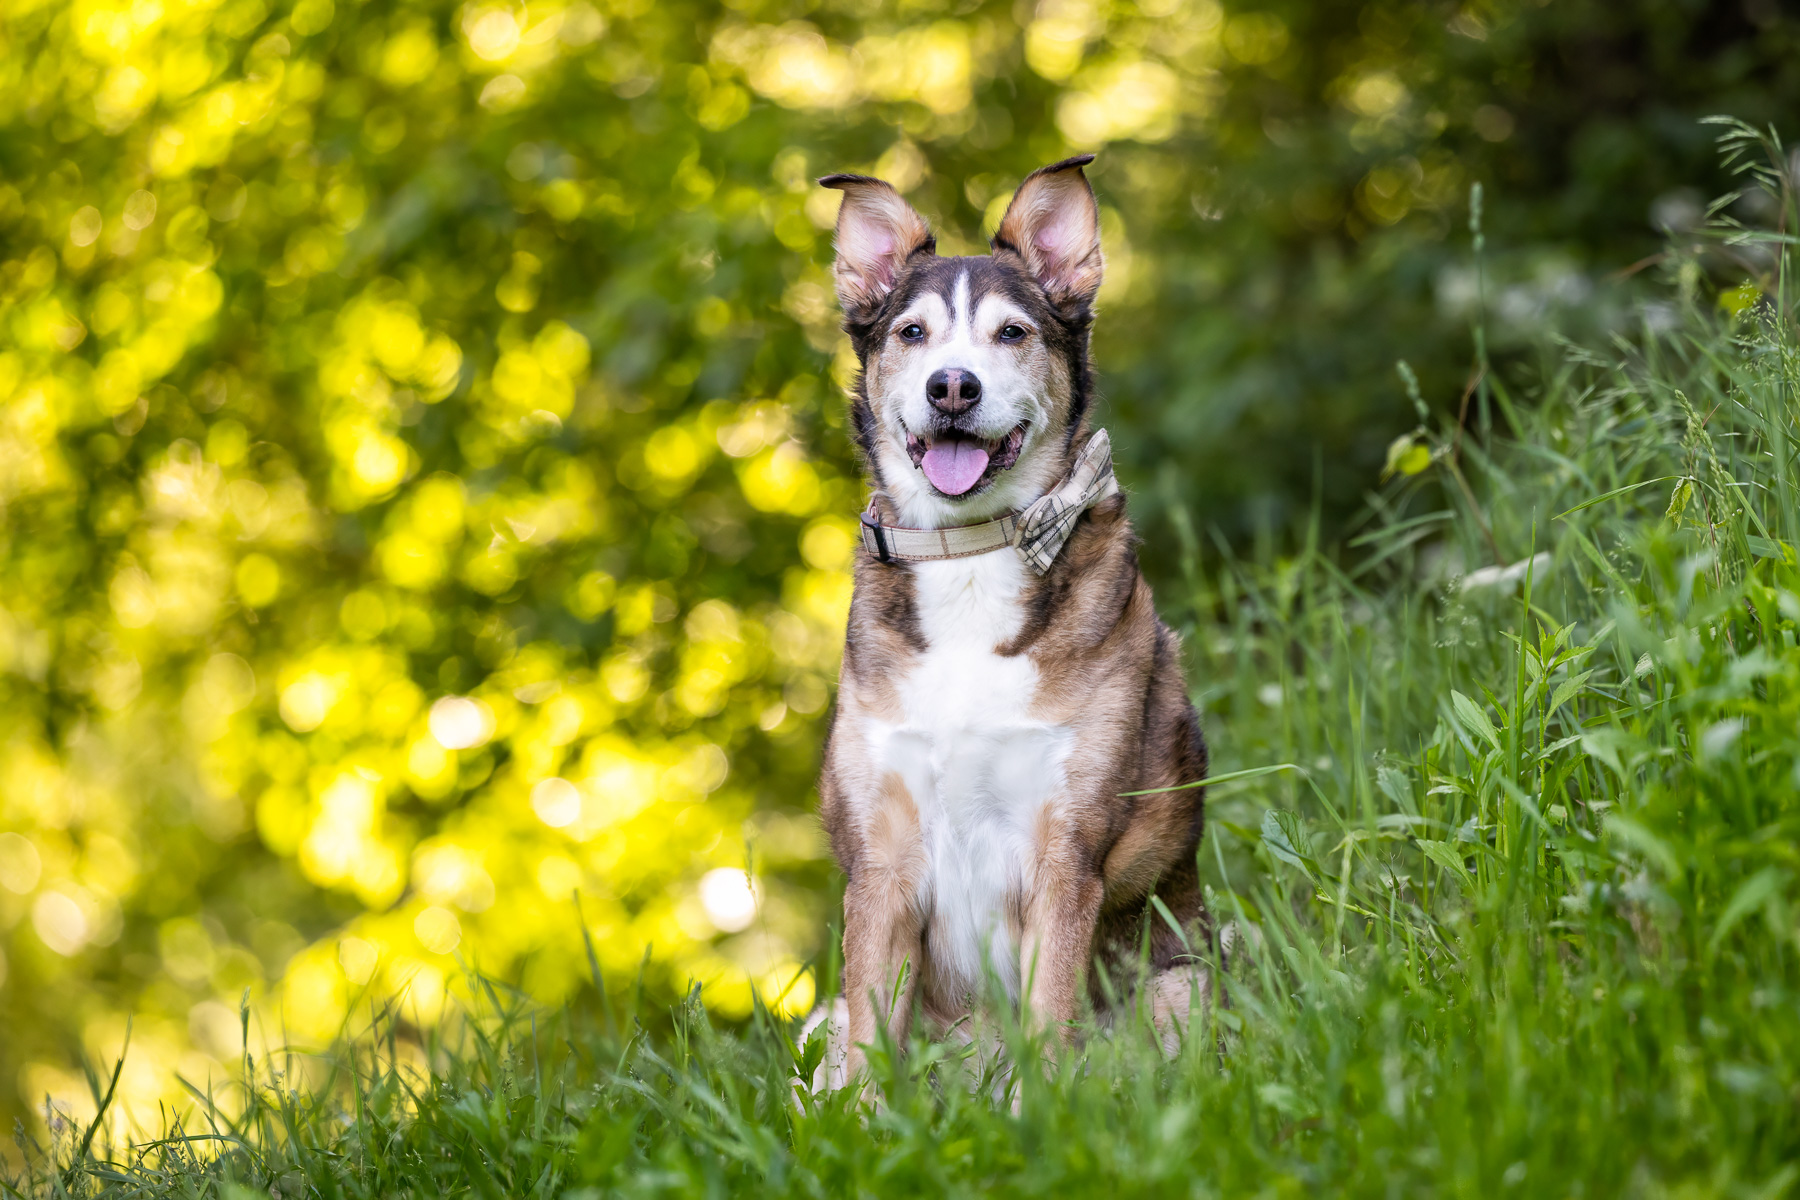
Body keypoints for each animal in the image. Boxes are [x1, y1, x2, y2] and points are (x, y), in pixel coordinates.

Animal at [813, 152, 1209, 1086]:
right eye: (911, 334)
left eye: (1012, 334)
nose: (952, 387)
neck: (968, 558)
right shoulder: (880, 861)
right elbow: (872, 1054)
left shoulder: (1065, 850)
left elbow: (1050, 1027)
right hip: (824, 1024)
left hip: (1183, 983)